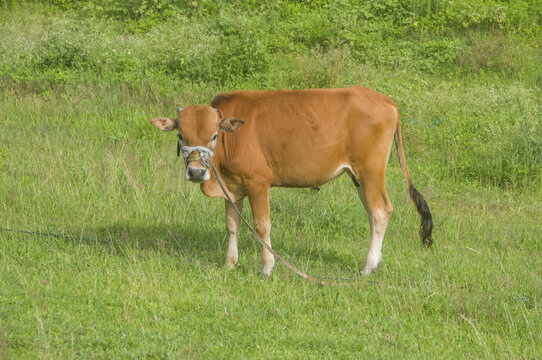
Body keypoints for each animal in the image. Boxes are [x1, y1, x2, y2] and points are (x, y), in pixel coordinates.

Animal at [151, 86, 436, 276]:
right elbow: (232, 225)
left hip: (370, 171)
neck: (231, 140)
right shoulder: (232, 188)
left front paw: (267, 266)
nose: (196, 173)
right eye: (180, 135)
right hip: (358, 177)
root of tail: (383, 99)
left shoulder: (258, 183)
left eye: (213, 135)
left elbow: (262, 225)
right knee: (372, 213)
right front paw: (230, 263)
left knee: (380, 211)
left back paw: (368, 266)